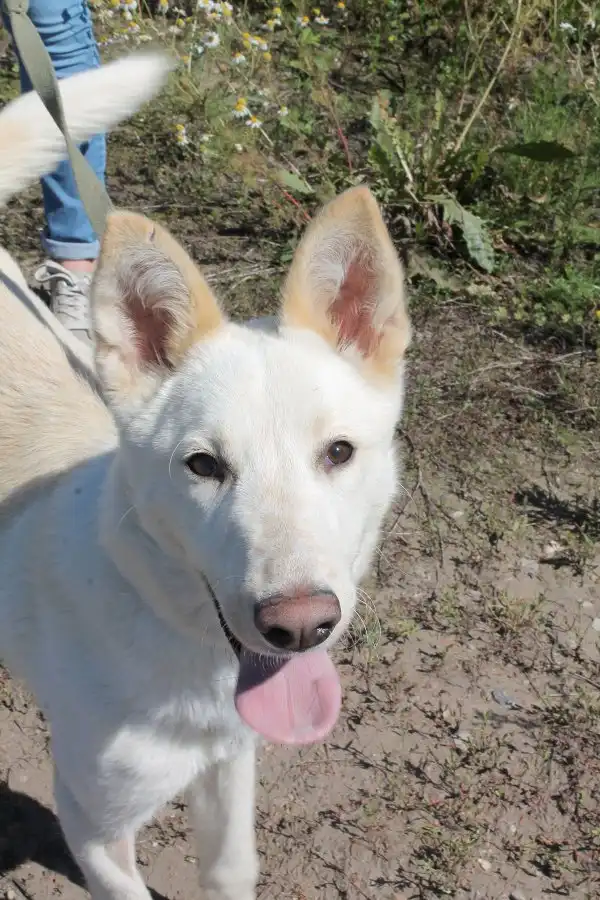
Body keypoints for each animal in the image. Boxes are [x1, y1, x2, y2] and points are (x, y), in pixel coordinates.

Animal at [0, 52, 411, 900]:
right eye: (204, 466)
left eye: (338, 453)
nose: (300, 626)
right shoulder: (91, 825)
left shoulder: (230, 767)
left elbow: (229, 868)